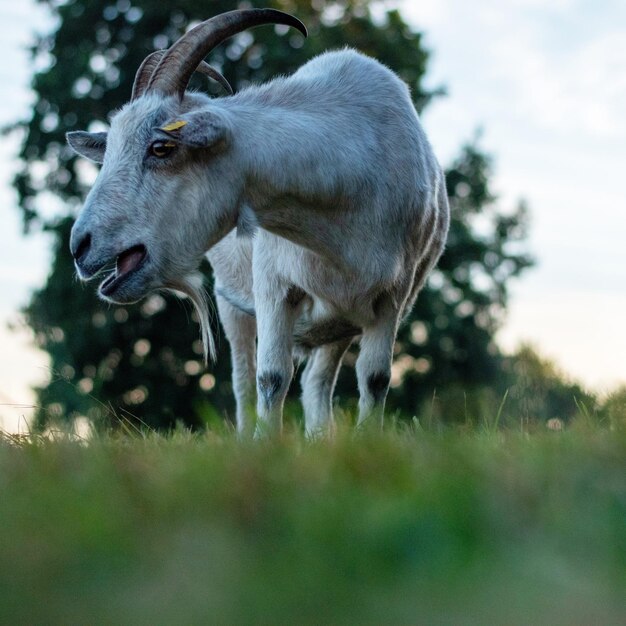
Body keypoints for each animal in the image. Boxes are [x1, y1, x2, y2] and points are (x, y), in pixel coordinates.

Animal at [67, 11, 448, 438]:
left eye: (161, 147)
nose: (81, 245)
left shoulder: (391, 297)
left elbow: (375, 379)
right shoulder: (272, 285)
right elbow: (271, 377)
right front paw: (267, 446)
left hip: (339, 321)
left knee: (316, 382)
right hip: (233, 303)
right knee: (245, 381)